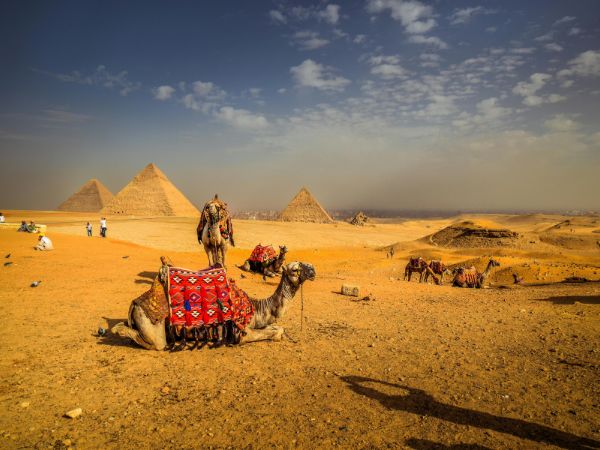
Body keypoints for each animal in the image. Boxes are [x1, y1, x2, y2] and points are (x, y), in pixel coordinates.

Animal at [110, 258, 316, 350]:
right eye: (295, 269)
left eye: (304, 263)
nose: (313, 270)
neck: (258, 309)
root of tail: (135, 303)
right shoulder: (242, 333)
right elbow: (271, 333)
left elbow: (278, 328)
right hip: (153, 325)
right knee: (153, 342)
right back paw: (117, 330)